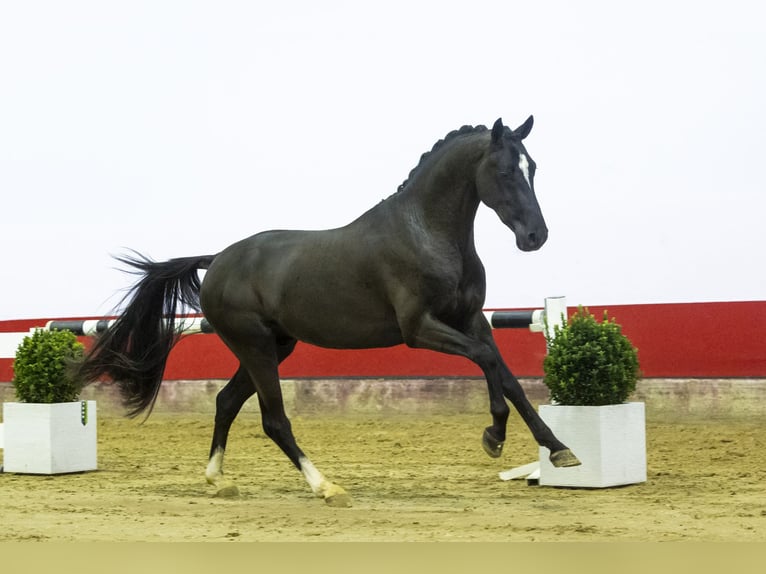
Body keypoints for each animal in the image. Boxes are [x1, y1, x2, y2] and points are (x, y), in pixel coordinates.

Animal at [79, 118, 584, 508]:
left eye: (533, 167)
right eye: (504, 170)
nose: (535, 236)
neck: (428, 234)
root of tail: (217, 259)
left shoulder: (472, 319)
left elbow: (507, 375)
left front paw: (559, 450)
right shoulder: (421, 328)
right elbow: (487, 361)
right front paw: (494, 436)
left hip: (273, 347)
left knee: (226, 402)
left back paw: (218, 481)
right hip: (256, 346)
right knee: (274, 420)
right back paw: (327, 488)